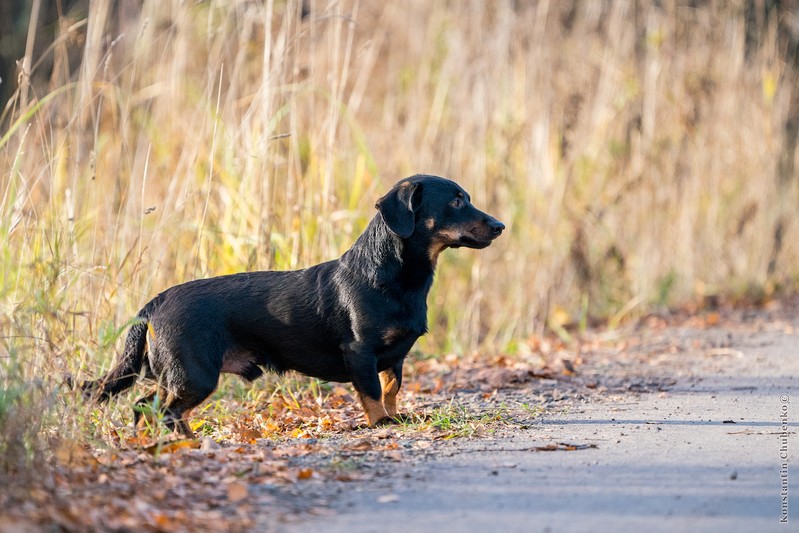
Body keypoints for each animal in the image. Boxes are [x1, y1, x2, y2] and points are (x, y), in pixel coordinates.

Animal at [83, 176, 506, 436]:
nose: (501, 226)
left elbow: (391, 388)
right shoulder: (360, 352)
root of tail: (155, 302)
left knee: (146, 407)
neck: (391, 276)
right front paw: (381, 424)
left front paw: (394, 416)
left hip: (173, 375)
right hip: (195, 374)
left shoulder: (395, 358)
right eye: (456, 201)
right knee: (165, 411)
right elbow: (372, 393)